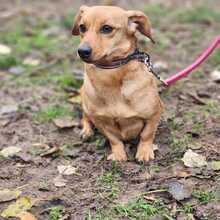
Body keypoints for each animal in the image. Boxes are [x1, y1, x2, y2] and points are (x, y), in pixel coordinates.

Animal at [72, 4, 163, 162]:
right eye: (82, 27)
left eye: (107, 28)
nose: (82, 51)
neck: (111, 75)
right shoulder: (101, 121)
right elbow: (113, 138)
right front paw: (118, 154)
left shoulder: (155, 113)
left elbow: (147, 134)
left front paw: (144, 151)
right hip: (85, 102)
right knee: (85, 117)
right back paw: (86, 131)